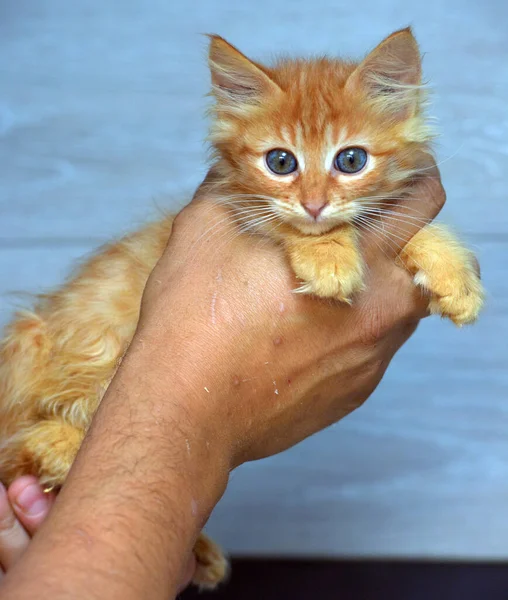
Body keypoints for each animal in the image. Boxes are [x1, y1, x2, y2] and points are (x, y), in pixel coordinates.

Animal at [0, 28, 484, 584]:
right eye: (281, 162)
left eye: (350, 160)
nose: (314, 205)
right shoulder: (235, 208)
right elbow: (287, 227)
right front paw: (328, 256)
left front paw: (452, 273)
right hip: (69, 351)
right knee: (25, 441)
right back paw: (60, 449)